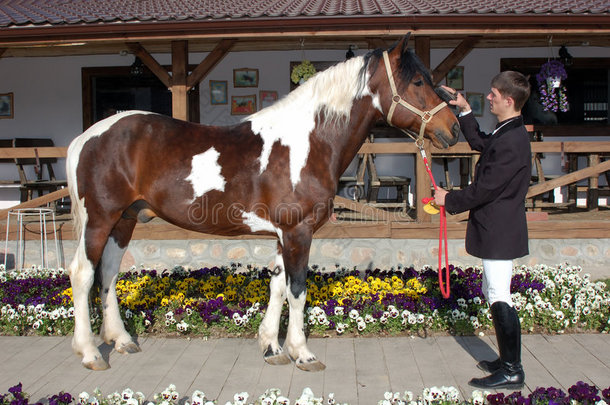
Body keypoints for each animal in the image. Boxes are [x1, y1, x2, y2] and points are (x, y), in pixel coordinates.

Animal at [65, 34, 456, 370]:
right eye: (417, 82)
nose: (452, 129)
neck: (308, 142)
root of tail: (86, 137)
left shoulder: (284, 235)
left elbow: (278, 286)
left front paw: (272, 346)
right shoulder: (298, 232)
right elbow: (297, 290)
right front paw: (302, 352)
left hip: (124, 220)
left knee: (108, 274)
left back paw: (120, 340)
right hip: (100, 219)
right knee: (83, 273)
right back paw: (90, 353)